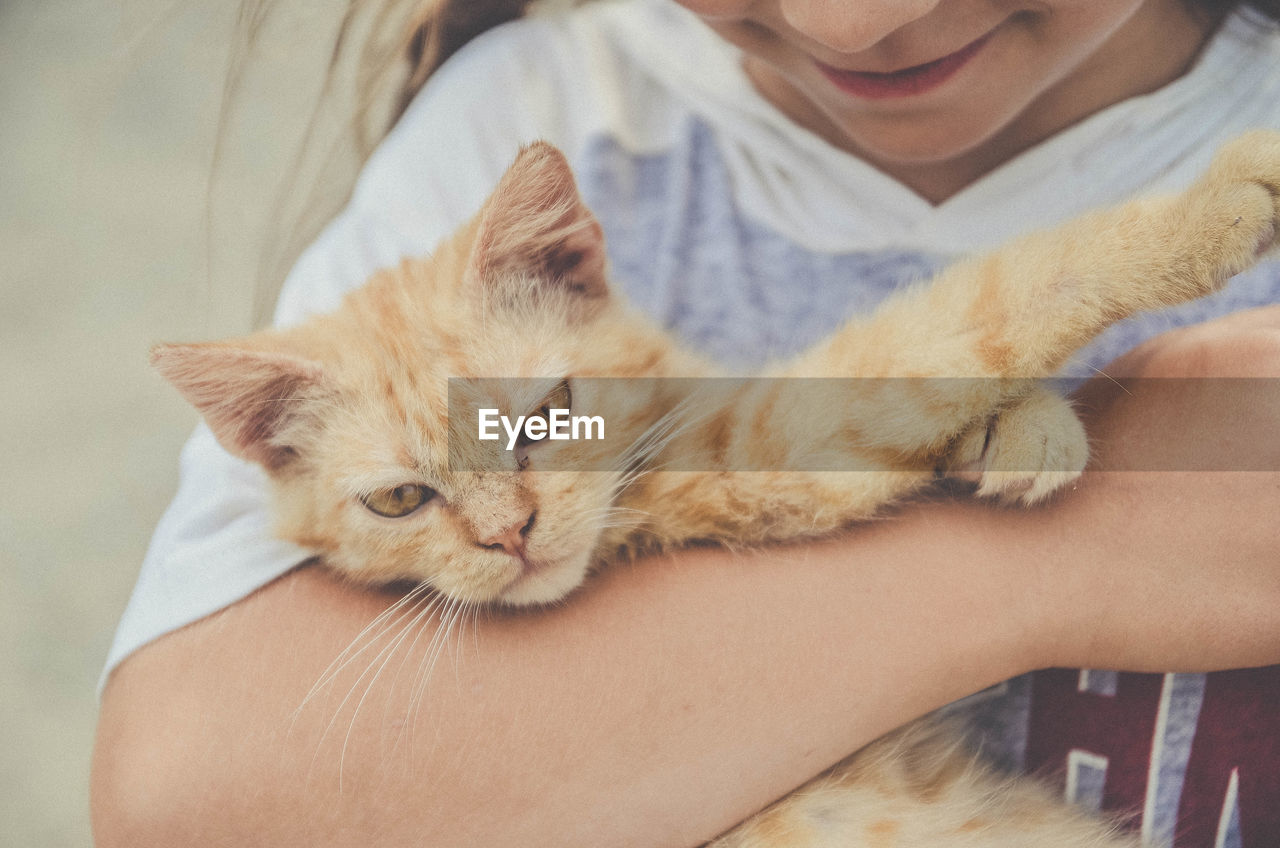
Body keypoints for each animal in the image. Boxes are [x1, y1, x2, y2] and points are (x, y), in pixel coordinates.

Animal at [152, 129, 1280, 845]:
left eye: (544, 415)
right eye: (398, 502)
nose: (508, 535)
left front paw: (1021, 427)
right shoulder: (771, 447)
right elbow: (967, 312)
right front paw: (1213, 206)